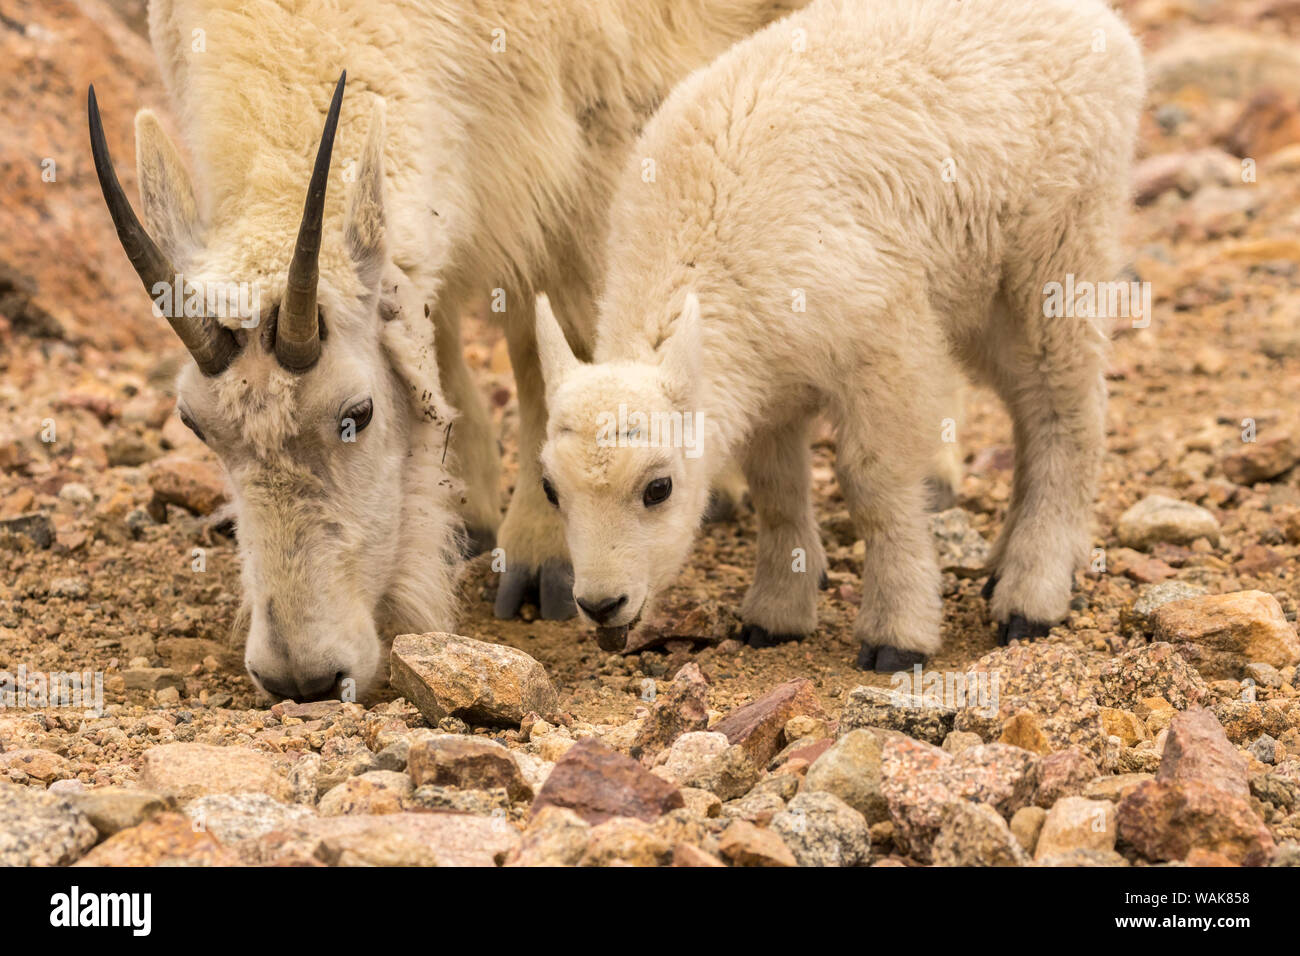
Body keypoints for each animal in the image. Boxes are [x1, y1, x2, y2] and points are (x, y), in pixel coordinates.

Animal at [89, 0, 811, 702]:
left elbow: (552, 339)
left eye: (358, 414)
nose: (302, 678)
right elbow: (437, 346)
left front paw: (542, 553)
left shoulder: (586, 143)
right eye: (194, 425)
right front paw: (468, 510)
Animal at [533, 0, 1144, 671]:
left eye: (658, 488)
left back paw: (1032, 593)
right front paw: (777, 613)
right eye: (550, 490)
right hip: (985, 292)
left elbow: (876, 487)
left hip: (1060, 249)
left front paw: (898, 634)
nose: (601, 605)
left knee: (1068, 407)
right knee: (1028, 406)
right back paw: (1004, 566)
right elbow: (777, 490)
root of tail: (1105, 24)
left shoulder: (886, 339)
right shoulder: (768, 385)